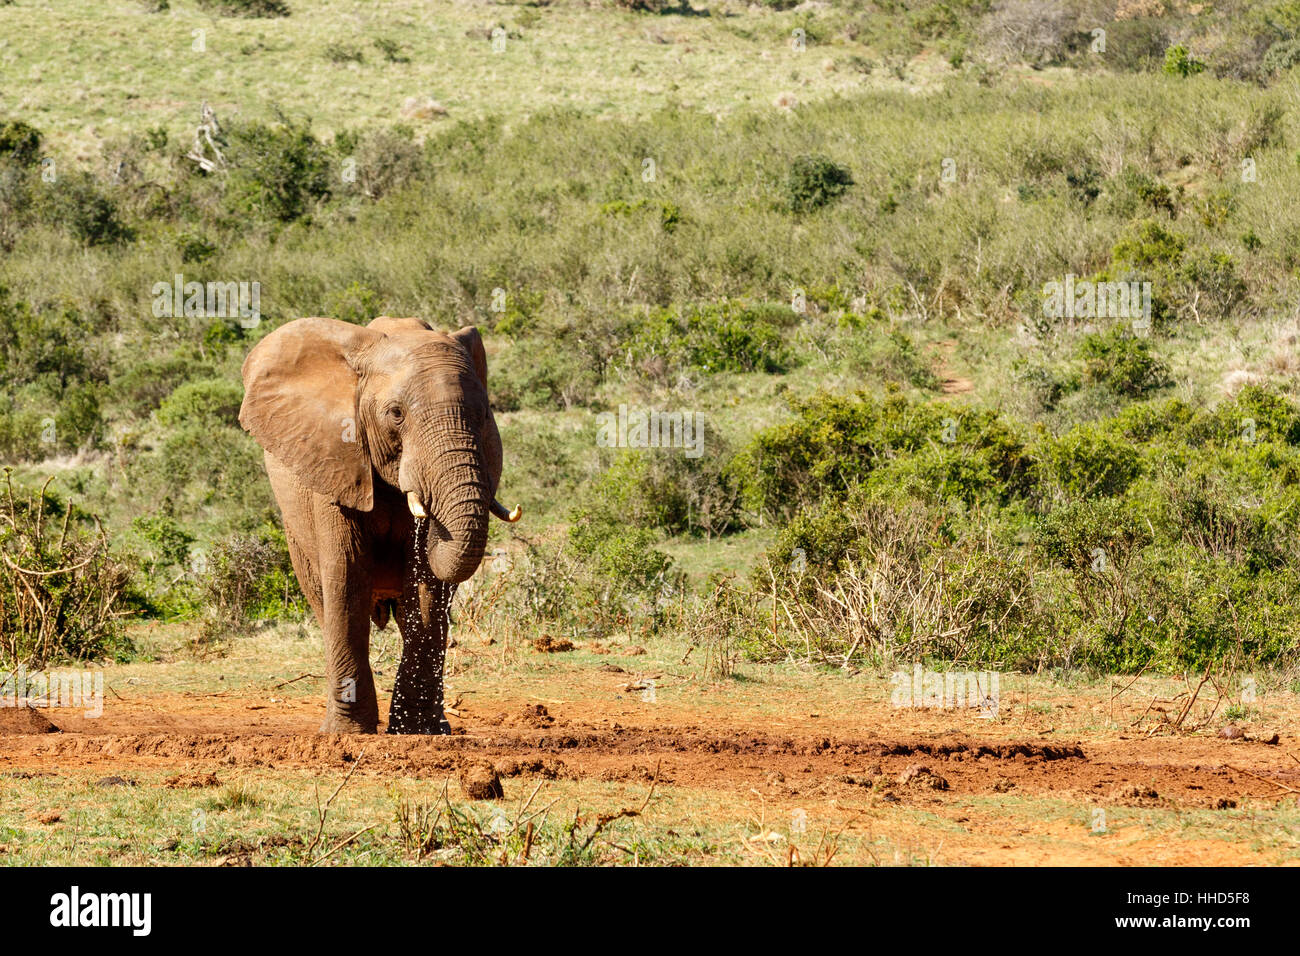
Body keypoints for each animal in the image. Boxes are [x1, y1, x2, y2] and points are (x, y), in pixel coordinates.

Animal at [236, 317, 520, 738]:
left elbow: (425, 587)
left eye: (485, 414)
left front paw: (415, 730)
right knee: (323, 600)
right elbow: (347, 574)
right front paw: (346, 733)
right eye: (396, 414)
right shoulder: (335, 460)